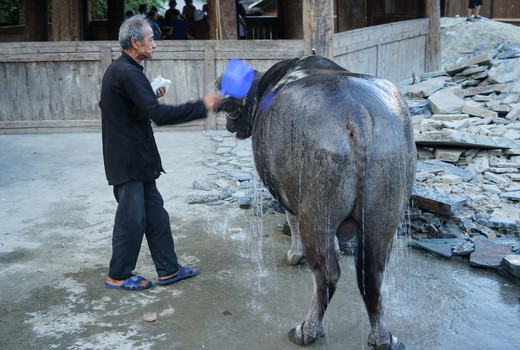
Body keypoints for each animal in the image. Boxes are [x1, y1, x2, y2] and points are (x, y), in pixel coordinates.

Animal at [217, 56, 416, 348]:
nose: (229, 125)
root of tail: (355, 112)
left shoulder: (287, 194)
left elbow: (291, 221)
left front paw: (294, 255)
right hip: (384, 210)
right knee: (372, 274)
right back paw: (382, 337)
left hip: (316, 212)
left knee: (327, 274)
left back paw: (307, 329)